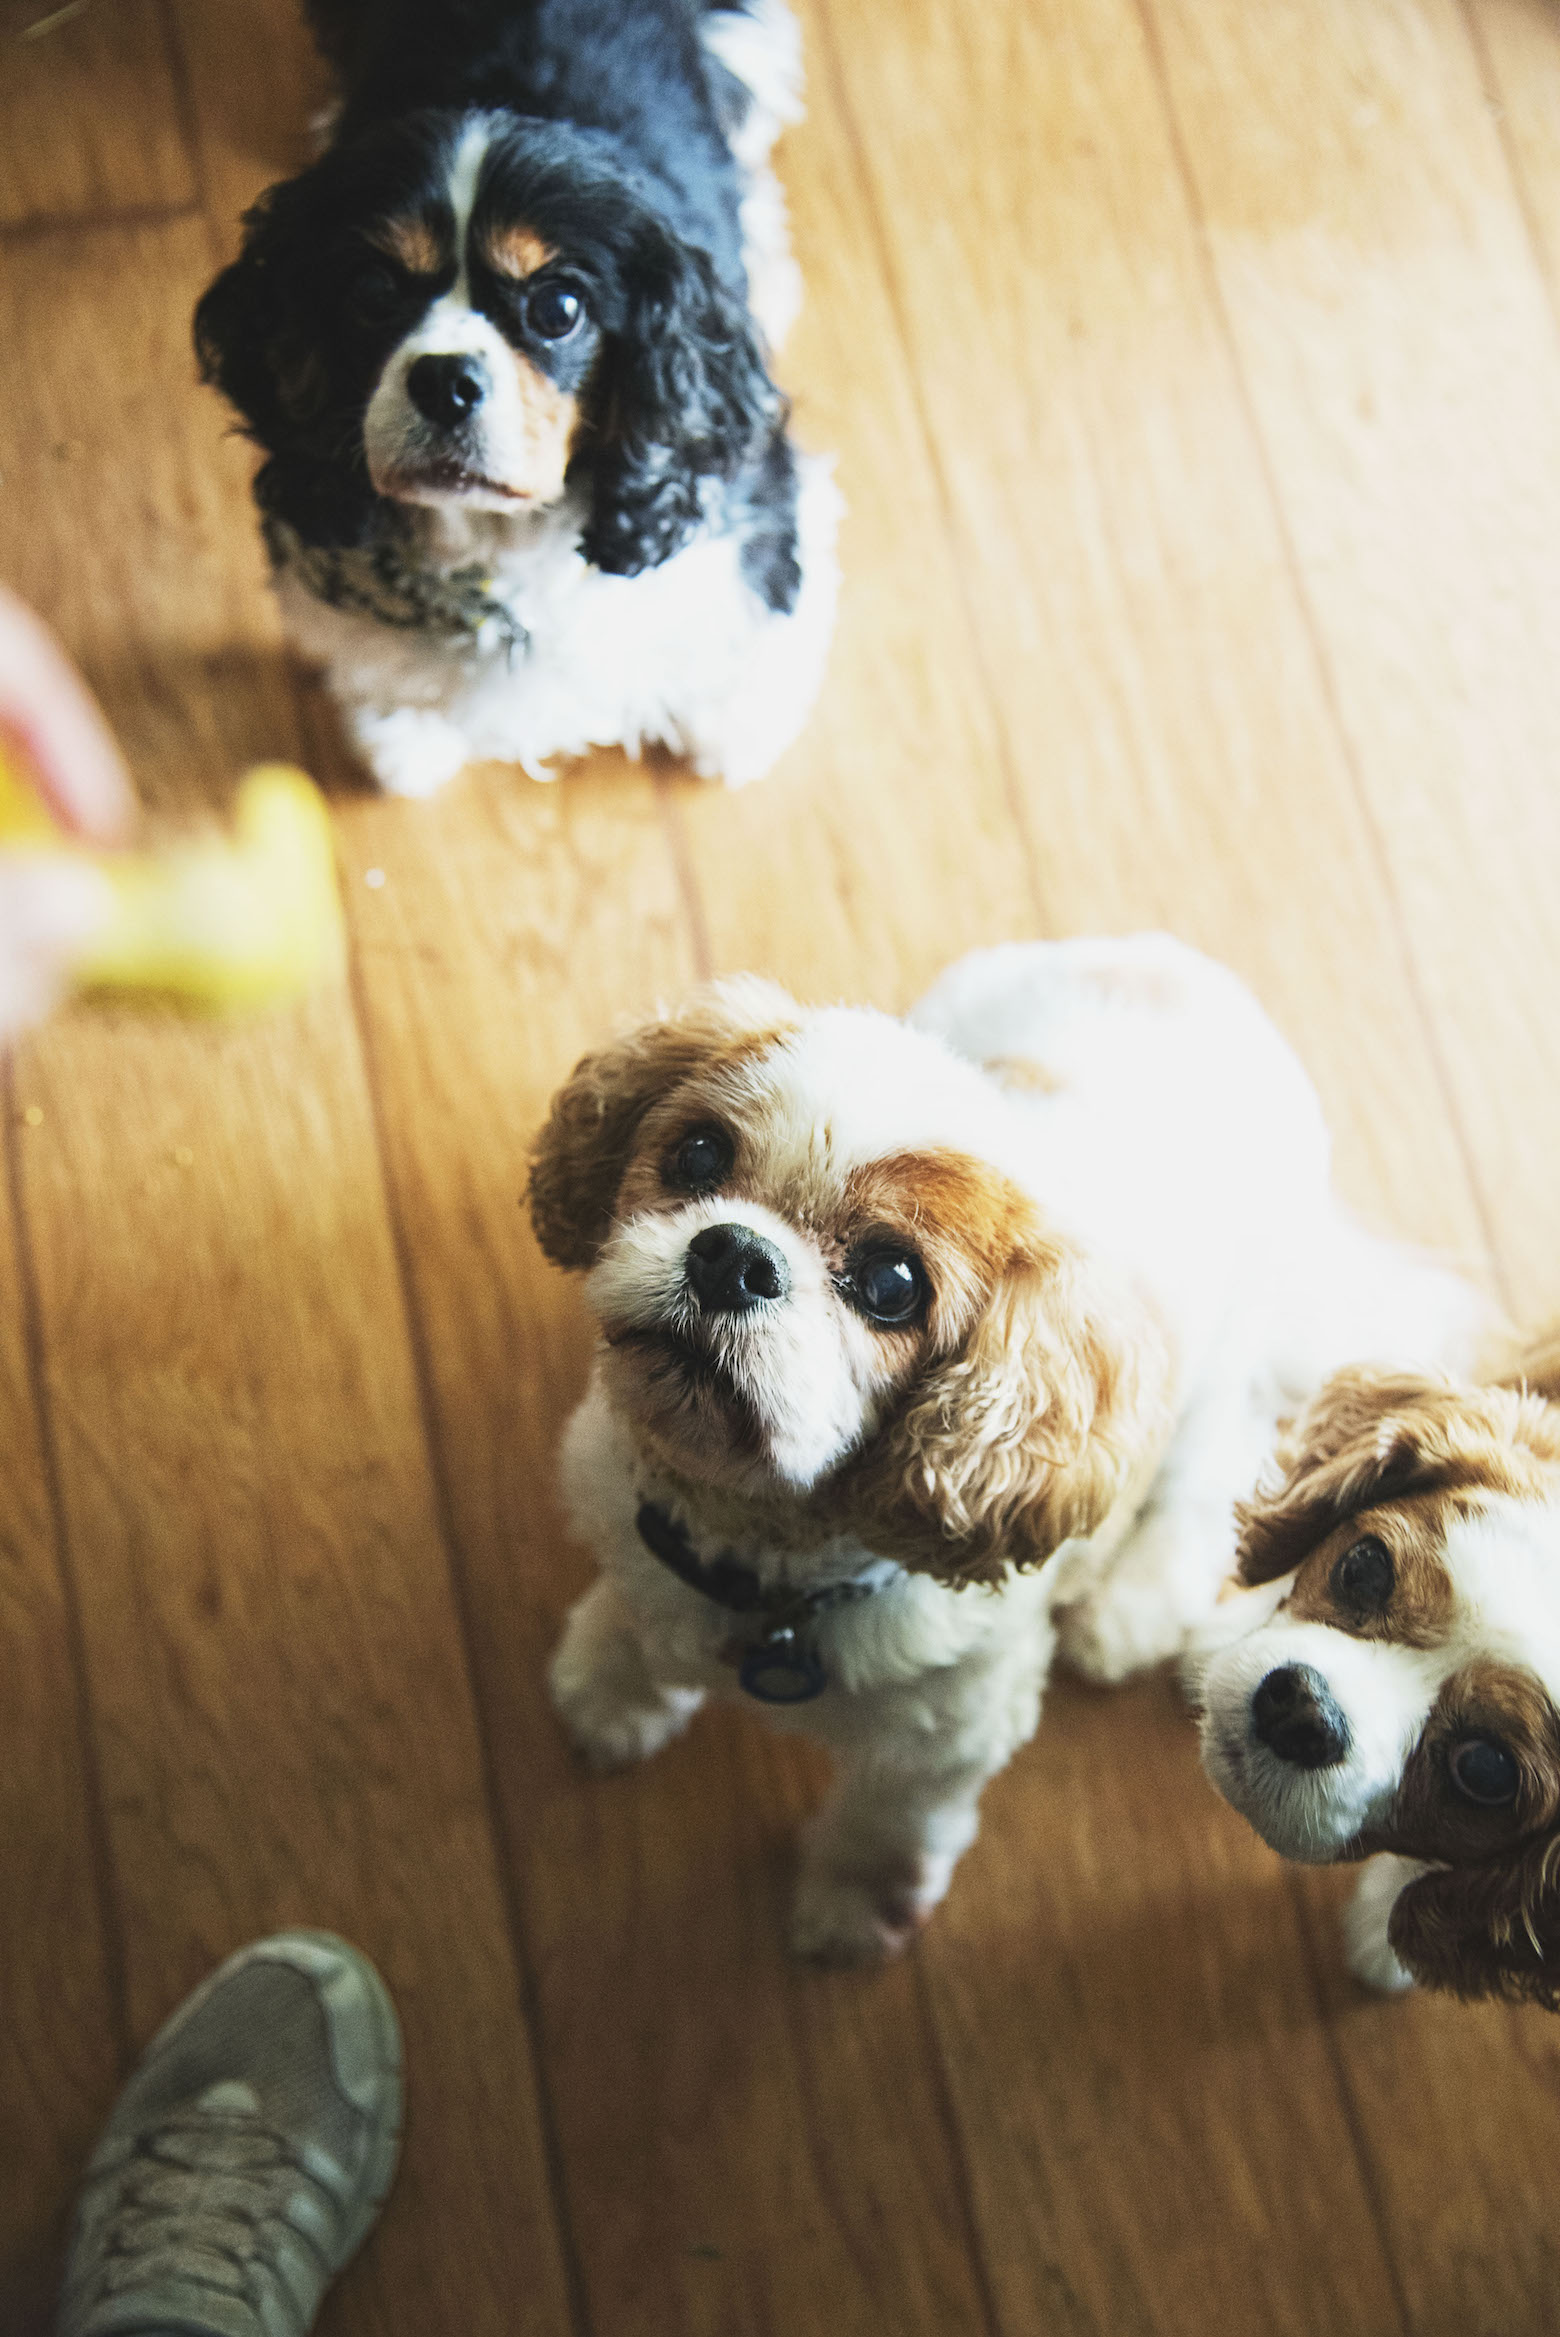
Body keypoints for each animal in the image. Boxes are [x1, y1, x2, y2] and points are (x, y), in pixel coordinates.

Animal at [195, 2, 840, 794]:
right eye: (372, 293)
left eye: (559, 308)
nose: (445, 382)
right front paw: (405, 739)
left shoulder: (744, 499)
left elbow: (757, 619)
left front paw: (735, 729)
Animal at [530, 939, 1485, 1963]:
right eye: (698, 1153)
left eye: (892, 1284)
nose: (734, 1255)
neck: (761, 1559)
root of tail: (1175, 965)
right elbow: (636, 1612)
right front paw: (614, 1680)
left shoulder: (952, 1730)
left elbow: (890, 1816)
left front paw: (857, 1899)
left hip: (1220, 1360)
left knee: (1217, 1465)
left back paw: (1130, 1607)